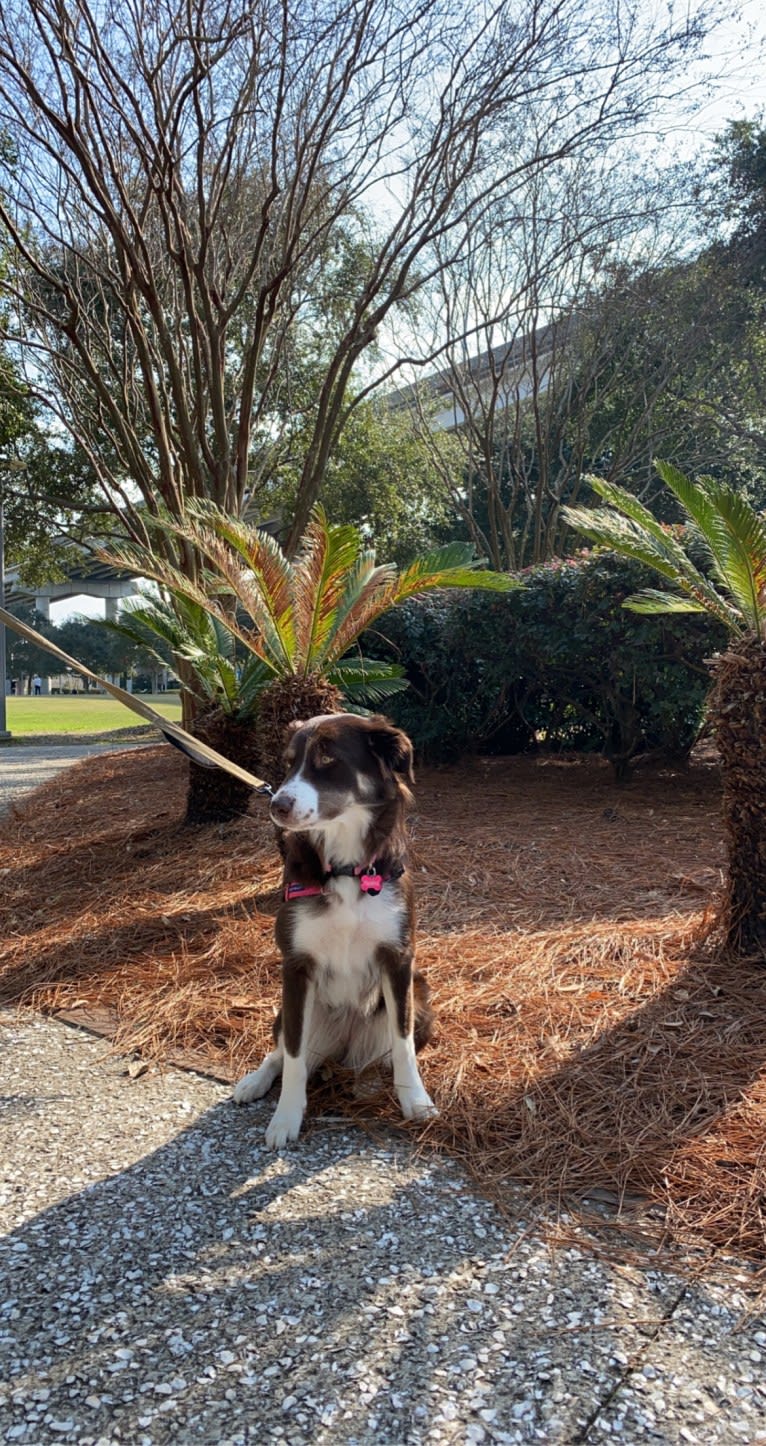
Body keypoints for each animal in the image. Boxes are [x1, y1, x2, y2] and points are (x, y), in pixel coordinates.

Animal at [231, 714, 436, 1151]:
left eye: (327, 759)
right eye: (289, 763)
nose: (276, 805)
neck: (346, 870)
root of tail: (344, 1046)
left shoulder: (399, 960)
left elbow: (404, 1043)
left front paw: (415, 1100)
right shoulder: (296, 966)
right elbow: (293, 1057)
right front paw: (286, 1117)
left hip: (422, 996)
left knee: (381, 1058)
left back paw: (369, 1082)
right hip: (288, 1008)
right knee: (281, 1052)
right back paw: (255, 1081)